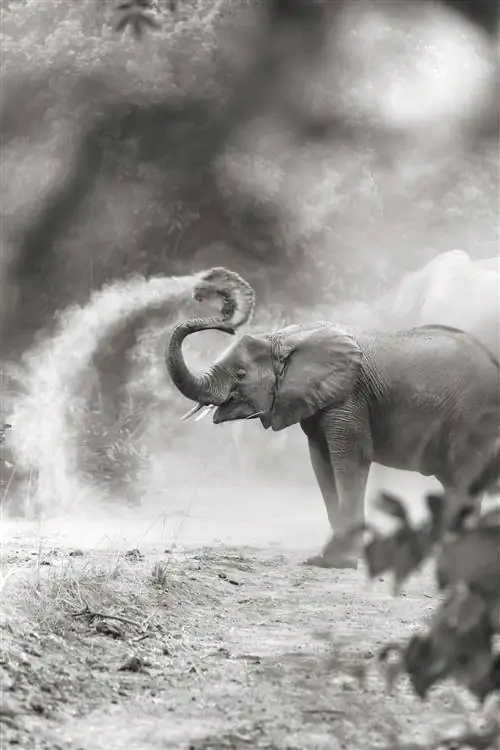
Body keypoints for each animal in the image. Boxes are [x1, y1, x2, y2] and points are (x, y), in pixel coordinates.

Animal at [165, 270, 500, 569]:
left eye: (241, 374)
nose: (210, 298)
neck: (284, 338)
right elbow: (322, 461)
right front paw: (324, 559)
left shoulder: (349, 396)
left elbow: (351, 459)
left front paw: (340, 563)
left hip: (473, 418)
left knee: (462, 479)